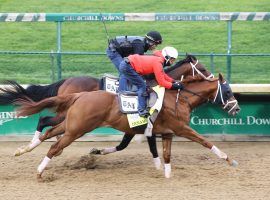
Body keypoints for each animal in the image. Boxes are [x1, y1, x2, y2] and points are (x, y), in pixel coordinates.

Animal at [3, 54, 213, 167]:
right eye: (202, 68)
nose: (212, 78)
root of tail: (66, 81)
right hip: (67, 114)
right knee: (45, 120)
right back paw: (36, 146)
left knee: (49, 123)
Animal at [14, 73, 240, 178]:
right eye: (228, 91)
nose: (237, 109)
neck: (179, 99)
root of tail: (79, 95)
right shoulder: (180, 128)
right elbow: (204, 141)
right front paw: (229, 159)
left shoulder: (167, 132)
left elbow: (166, 154)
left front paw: (166, 175)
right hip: (76, 129)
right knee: (54, 144)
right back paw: (39, 171)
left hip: (71, 125)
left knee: (49, 133)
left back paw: (23, 150)